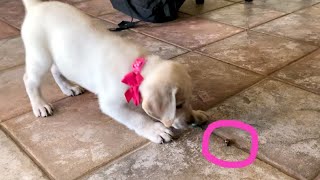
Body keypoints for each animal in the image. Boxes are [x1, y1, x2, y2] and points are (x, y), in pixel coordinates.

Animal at [21, 0, 209, 143]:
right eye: (177, 105)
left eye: (187, 102)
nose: (191, 121)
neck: (138, 69)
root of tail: (37, 5)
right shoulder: (111, 104)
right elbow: (137, 118)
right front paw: (155, 130)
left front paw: (197, 113)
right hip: (40, 57)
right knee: (29, 80)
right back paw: (40, 105)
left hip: (58, 57)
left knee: (55, 71)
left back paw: (69, 88)